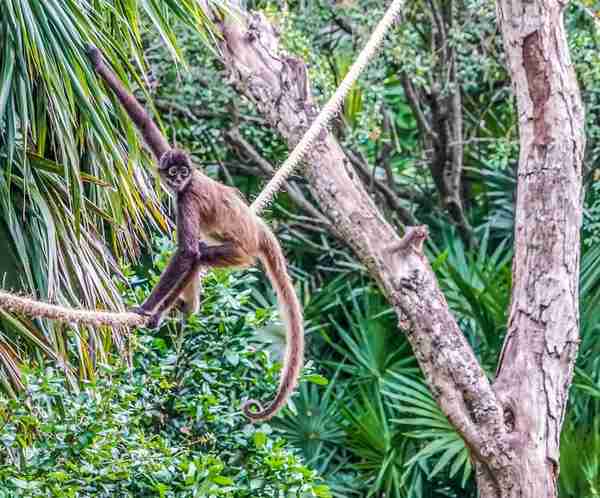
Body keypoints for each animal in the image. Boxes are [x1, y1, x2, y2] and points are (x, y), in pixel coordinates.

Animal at [88, 45, 304, 420]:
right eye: (173, 171)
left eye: (183, 174)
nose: (177, 179)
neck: (188, 183)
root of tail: (258, 229)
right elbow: (145, 123)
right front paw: (97, 61)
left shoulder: (186, 198)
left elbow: (187, 251)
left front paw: (147, 308)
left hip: (239, 252)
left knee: (199, 254)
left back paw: (168, 311)